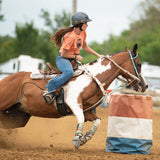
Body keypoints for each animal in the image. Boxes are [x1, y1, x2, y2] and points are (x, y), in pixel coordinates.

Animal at [0, 44, 148, 149]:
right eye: (139, 64)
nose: (145, 85)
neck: (92, 79)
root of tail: (7, 78)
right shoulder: (74, 103)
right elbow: (80, 118)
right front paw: (77, 139)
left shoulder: (88, 110)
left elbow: (97, 121)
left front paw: (85, 138)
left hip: (19, 115)